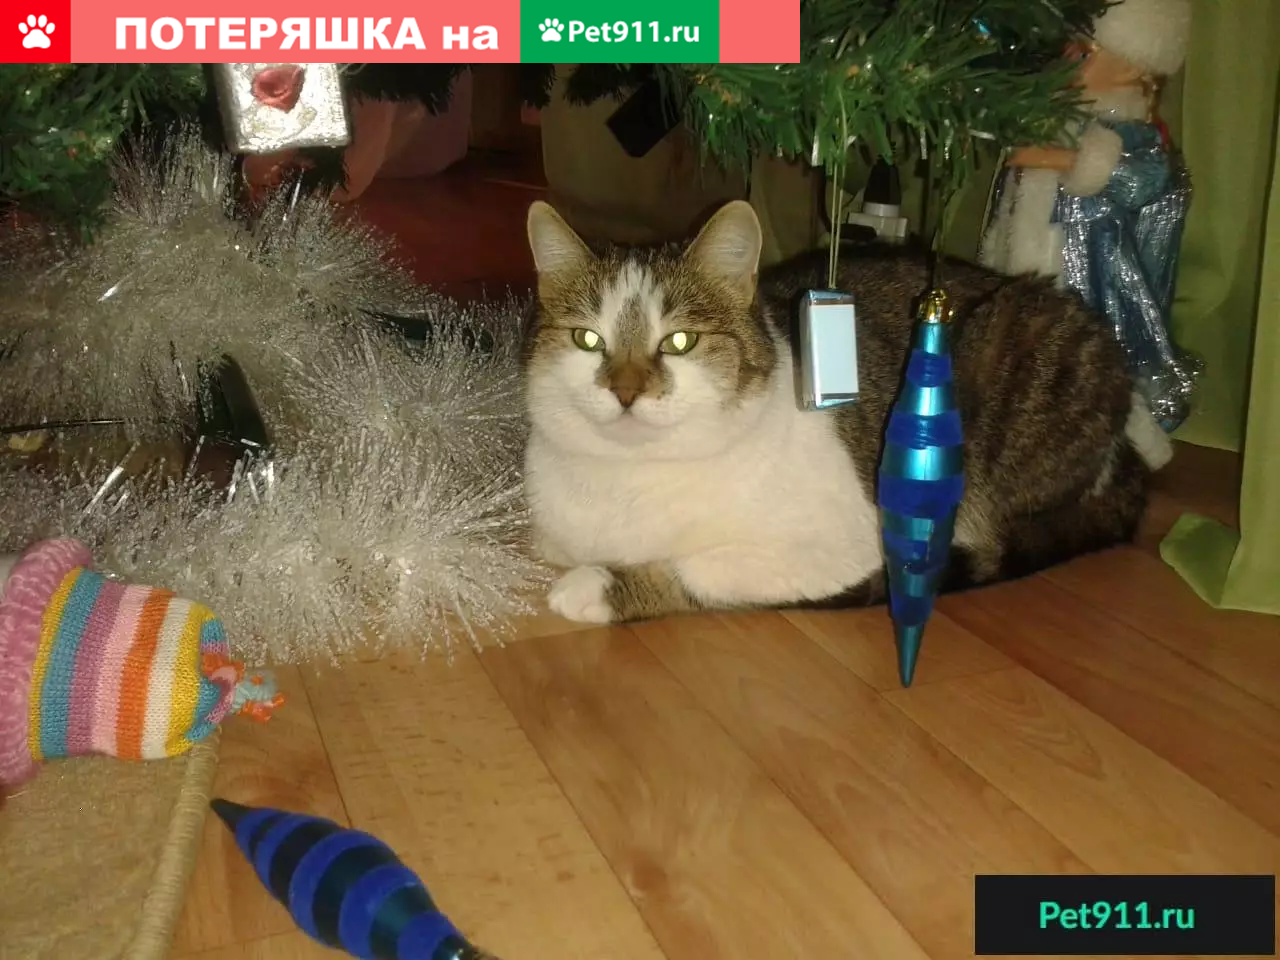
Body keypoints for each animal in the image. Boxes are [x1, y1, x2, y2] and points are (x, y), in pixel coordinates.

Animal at [521, 199, 1173, 624]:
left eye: (680, 341)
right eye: (587, 339)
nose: (626, 391)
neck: (629, 479)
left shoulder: (844, 545)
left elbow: (700, 569)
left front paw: (598, 588)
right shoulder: (552, 530)